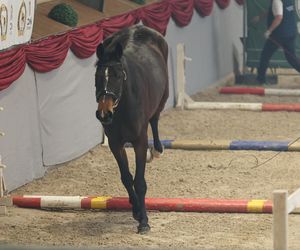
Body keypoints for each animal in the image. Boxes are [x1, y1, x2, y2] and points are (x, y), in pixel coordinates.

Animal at [95, 24, 169, 233]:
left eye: (118, 76)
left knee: (155, 118)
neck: (123, 108)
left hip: (163, 97)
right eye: (97, 76)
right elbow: (127, 178)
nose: (104, 114)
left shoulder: (139, 142)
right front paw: (136, 210)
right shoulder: (115, 144)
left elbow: (140, 182)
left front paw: (144, 221)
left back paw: (157, 150)